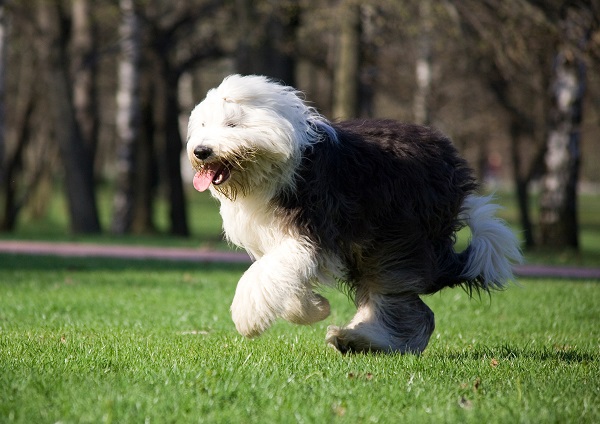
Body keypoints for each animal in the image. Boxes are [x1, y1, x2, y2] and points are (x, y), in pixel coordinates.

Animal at [185, 74, 524, 352]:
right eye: (202, 126)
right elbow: (280, 276)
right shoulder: (280, 239)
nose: (201, 151)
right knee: (410, 309)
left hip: (399, 237)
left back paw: (358, 339)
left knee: (404, 304)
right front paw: (314, 308)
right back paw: (357, 340)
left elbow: (264, 274)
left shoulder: (309, 232)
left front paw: (248, 318)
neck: (280, 164)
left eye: (232, 125)